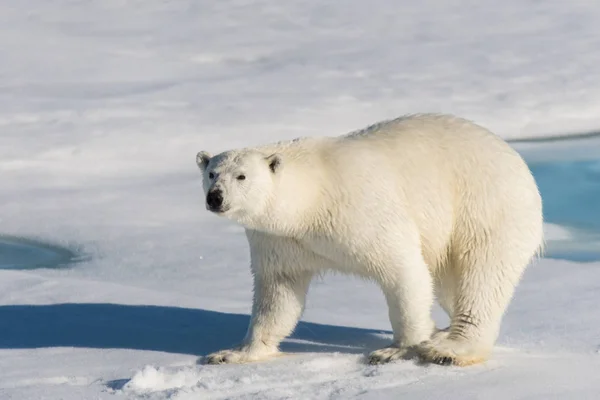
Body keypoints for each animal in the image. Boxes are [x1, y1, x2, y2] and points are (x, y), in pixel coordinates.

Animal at [196, 114, 544, 368]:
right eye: (212, 173)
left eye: (241, 176)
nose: (216, 198)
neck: (311, 197)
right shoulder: (280, 239)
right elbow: (278, 291)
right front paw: (232, 353)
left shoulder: (362, 210)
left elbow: (403, 270)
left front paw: (395, 350)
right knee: (450, 284)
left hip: (485, 206)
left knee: (480, 276)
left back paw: (449, 348)